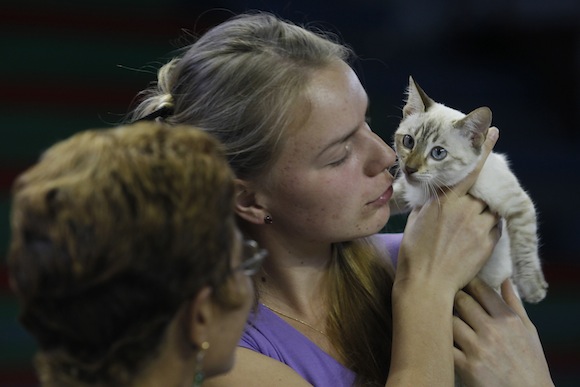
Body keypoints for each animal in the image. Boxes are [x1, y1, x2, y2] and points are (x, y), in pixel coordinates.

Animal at [390, 76, 548, 306]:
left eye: (438, 153)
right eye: (408, 141)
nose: (410, 168)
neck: (432, 189)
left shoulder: (517, 205)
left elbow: (525, 246)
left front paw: (532, 288)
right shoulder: (409, 188)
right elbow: (388, 193)